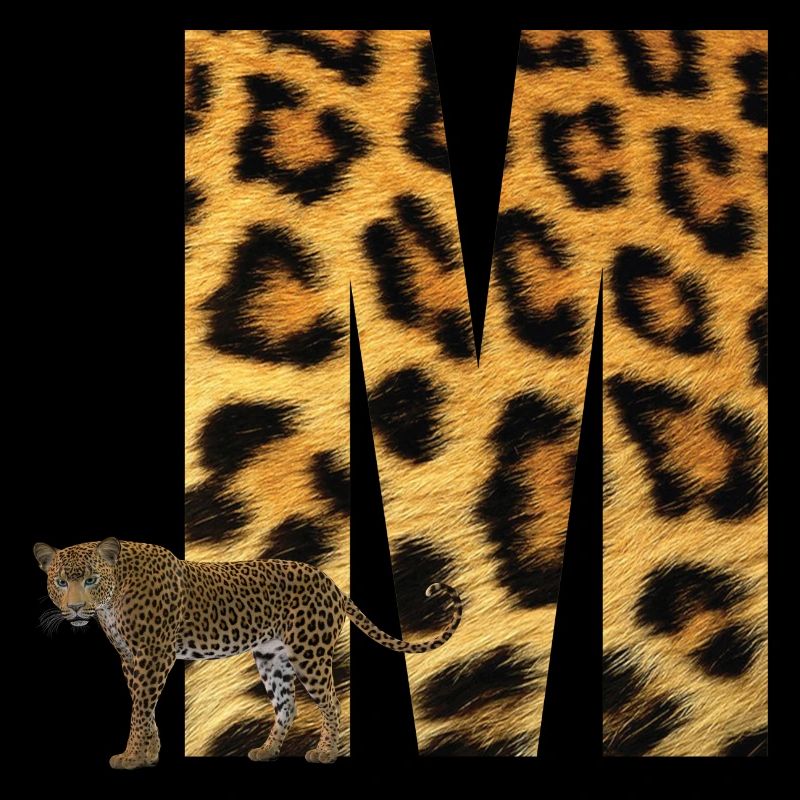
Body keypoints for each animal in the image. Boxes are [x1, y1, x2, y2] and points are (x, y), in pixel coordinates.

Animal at [33, 537, 462, 767]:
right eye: (60, 582)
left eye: (90, 579)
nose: (75, 609)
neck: (112, 597)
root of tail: (333, 584)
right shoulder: (131, 660)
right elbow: (144, 708)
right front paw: (149, 753)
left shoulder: (153, 656)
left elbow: (140, 710)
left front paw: (132, 757)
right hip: (272, 658)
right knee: (287, 706)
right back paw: (267, 752)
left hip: (308, 652)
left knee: (331, 702)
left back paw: (325, 753)